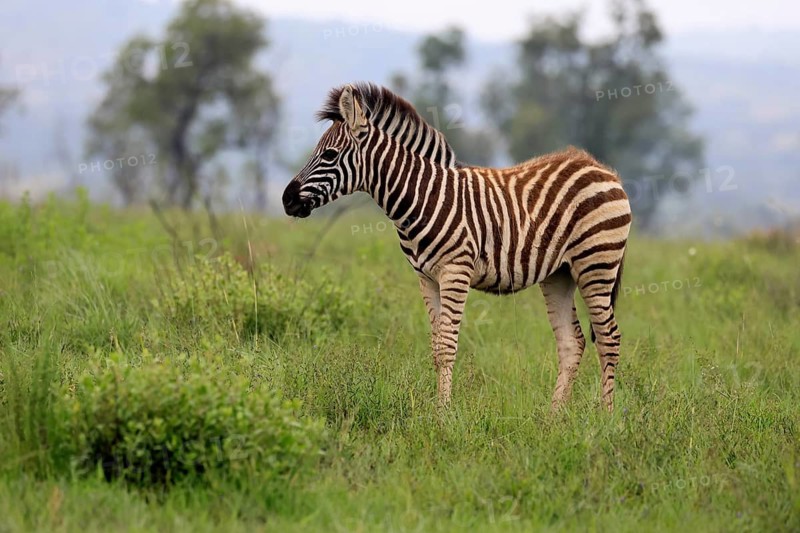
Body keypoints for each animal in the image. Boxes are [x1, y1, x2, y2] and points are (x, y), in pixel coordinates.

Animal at [283, 83, 632, 411]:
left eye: (329, 155)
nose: (286, 200)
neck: (422, 198)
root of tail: (601, 167)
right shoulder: (426, 278)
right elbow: (437, 347)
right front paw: (438, 411)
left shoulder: (455, 272)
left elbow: (448, 346)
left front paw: (444, 416)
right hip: (559, 273)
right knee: (573, 342)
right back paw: (553, 418)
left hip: (596, 264)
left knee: (609, 338)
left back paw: (605, 417)